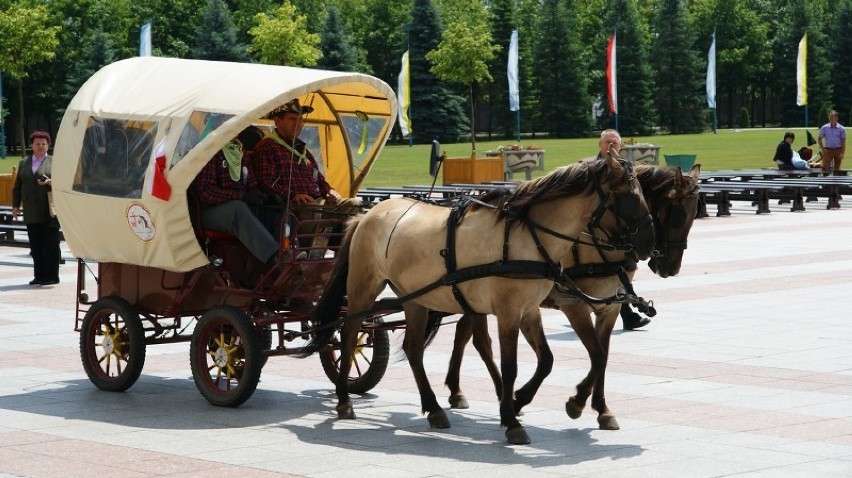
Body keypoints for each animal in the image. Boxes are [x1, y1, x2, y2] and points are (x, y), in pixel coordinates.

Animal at [302, 156, 656, 444]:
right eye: (630, 195)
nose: (647, 245)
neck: (527, 236)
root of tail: (367, 214)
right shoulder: (510, 312)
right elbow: (511, 365)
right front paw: (512, 418)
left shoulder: (529, 310)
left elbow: (547, 360)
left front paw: (520, 400)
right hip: (364, 287)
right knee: (349, 335)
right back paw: (344, 399)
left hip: (415, 298)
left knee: (414, 349)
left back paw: (433, 408)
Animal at [446, 162, 700, 432]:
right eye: (677, 215)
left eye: (693, 214)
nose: (671, 267)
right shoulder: (574, 305)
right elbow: (597, 356)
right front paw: (575, 402)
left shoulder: (608, 308)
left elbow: (603, 356)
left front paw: (602, 409)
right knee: (480, 342)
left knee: (464, 333)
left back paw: (458, 390)